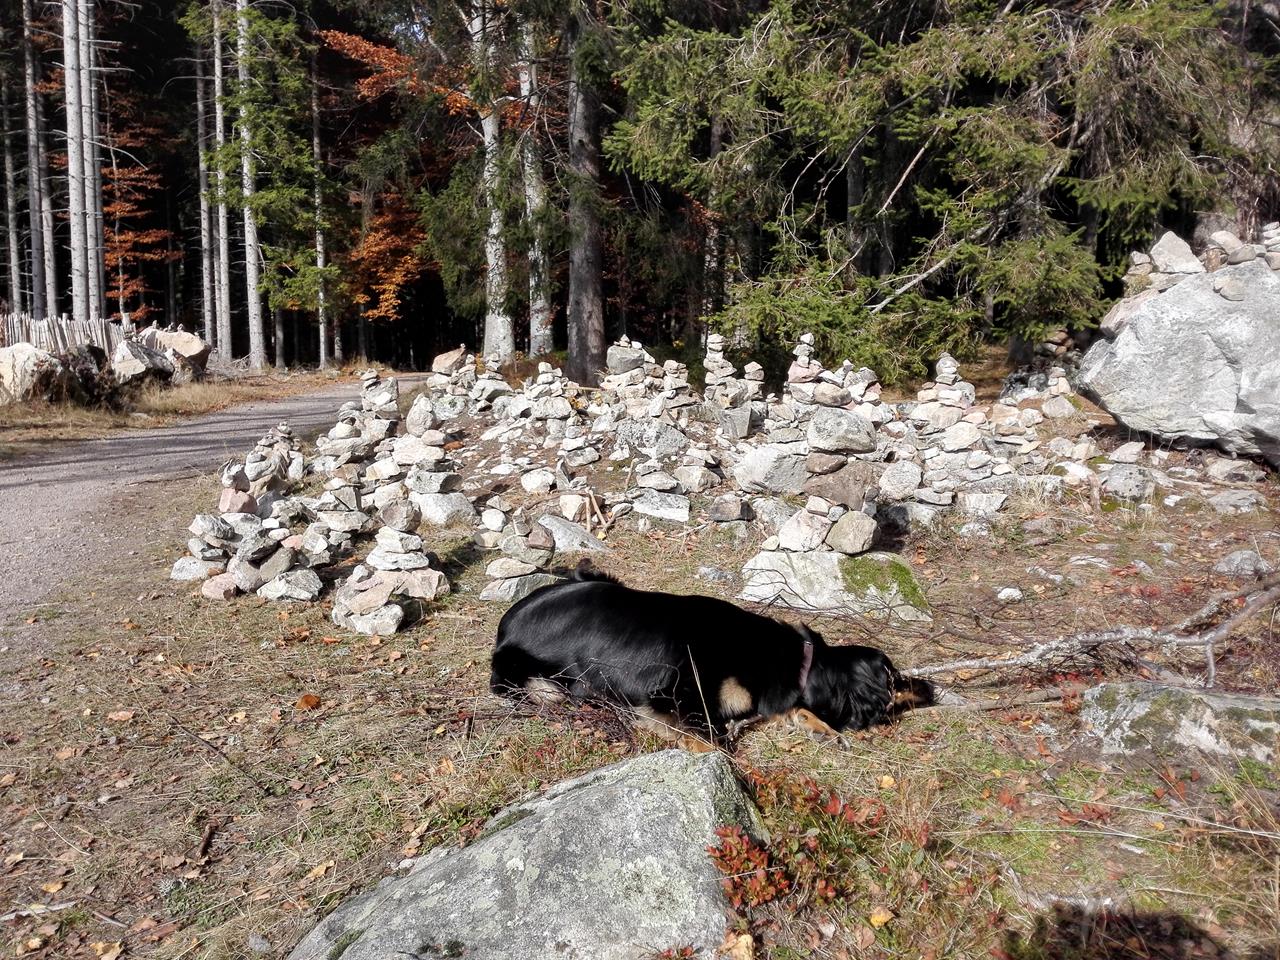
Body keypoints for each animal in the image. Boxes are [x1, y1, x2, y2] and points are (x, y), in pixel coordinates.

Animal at [489, 566, 932, 749]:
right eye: (893, 677)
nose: (931, 686)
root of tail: (503, 629)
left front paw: (818, 727)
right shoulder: (671, 695)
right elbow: (717, 744)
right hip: (530, 678)